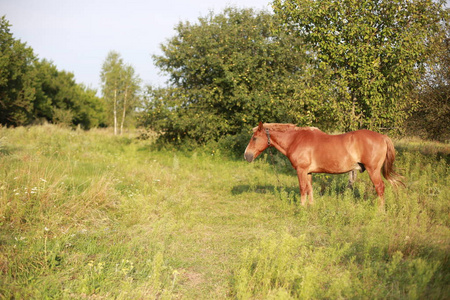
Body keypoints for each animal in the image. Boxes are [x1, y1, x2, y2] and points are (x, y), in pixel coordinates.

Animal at [246, 123, 404, 207]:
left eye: (255, 138)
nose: (246, 155)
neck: (295, 139)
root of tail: (382, 136)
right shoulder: (308, 172)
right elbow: (309, 188)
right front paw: (310, 206)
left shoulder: (301, 170)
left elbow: (302, 188)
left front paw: (301, 208)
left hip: (373, 170)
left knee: (380, 188)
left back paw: (380, 211)